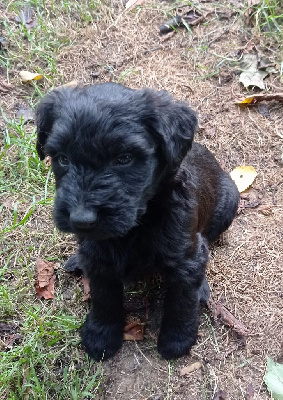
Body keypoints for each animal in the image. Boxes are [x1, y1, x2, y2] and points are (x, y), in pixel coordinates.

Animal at [36, 83, 240, 360]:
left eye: (124, 158)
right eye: (63, 158)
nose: (81, 219)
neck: (139, 224)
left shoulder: (186, 257)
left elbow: (181, 299)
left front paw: (177, 338)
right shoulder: (99, 256)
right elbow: (103, 295)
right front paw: (101, 333)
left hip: (230, 202)